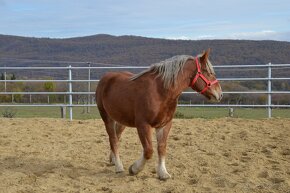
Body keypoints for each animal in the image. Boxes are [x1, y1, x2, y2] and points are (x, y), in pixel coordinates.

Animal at [95, 49, 222, 180]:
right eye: (208, 72)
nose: (220, 94)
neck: (160, 91)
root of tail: (106, 77)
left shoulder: (164, 124)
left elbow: (161, 147)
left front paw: (163, 172)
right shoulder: (143, 125)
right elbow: (148, 151)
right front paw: (134, 169)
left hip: (122, 120)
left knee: (117, 136)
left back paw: (113, 160)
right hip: (107, 118)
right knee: (113, 139)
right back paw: (119, 166)